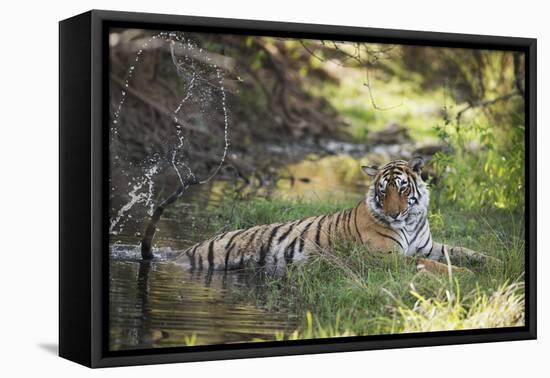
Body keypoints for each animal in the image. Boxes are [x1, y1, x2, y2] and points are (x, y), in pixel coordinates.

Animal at [175, 157, 494, 274]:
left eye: (403, 188)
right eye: (383, 191)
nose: (393, 213)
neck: (411, 220)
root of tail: (184, 251)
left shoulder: (428, 245)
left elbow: (460, 250)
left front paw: (493, 262)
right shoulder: (386, 257)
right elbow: (431, 264)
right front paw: (465, 275)